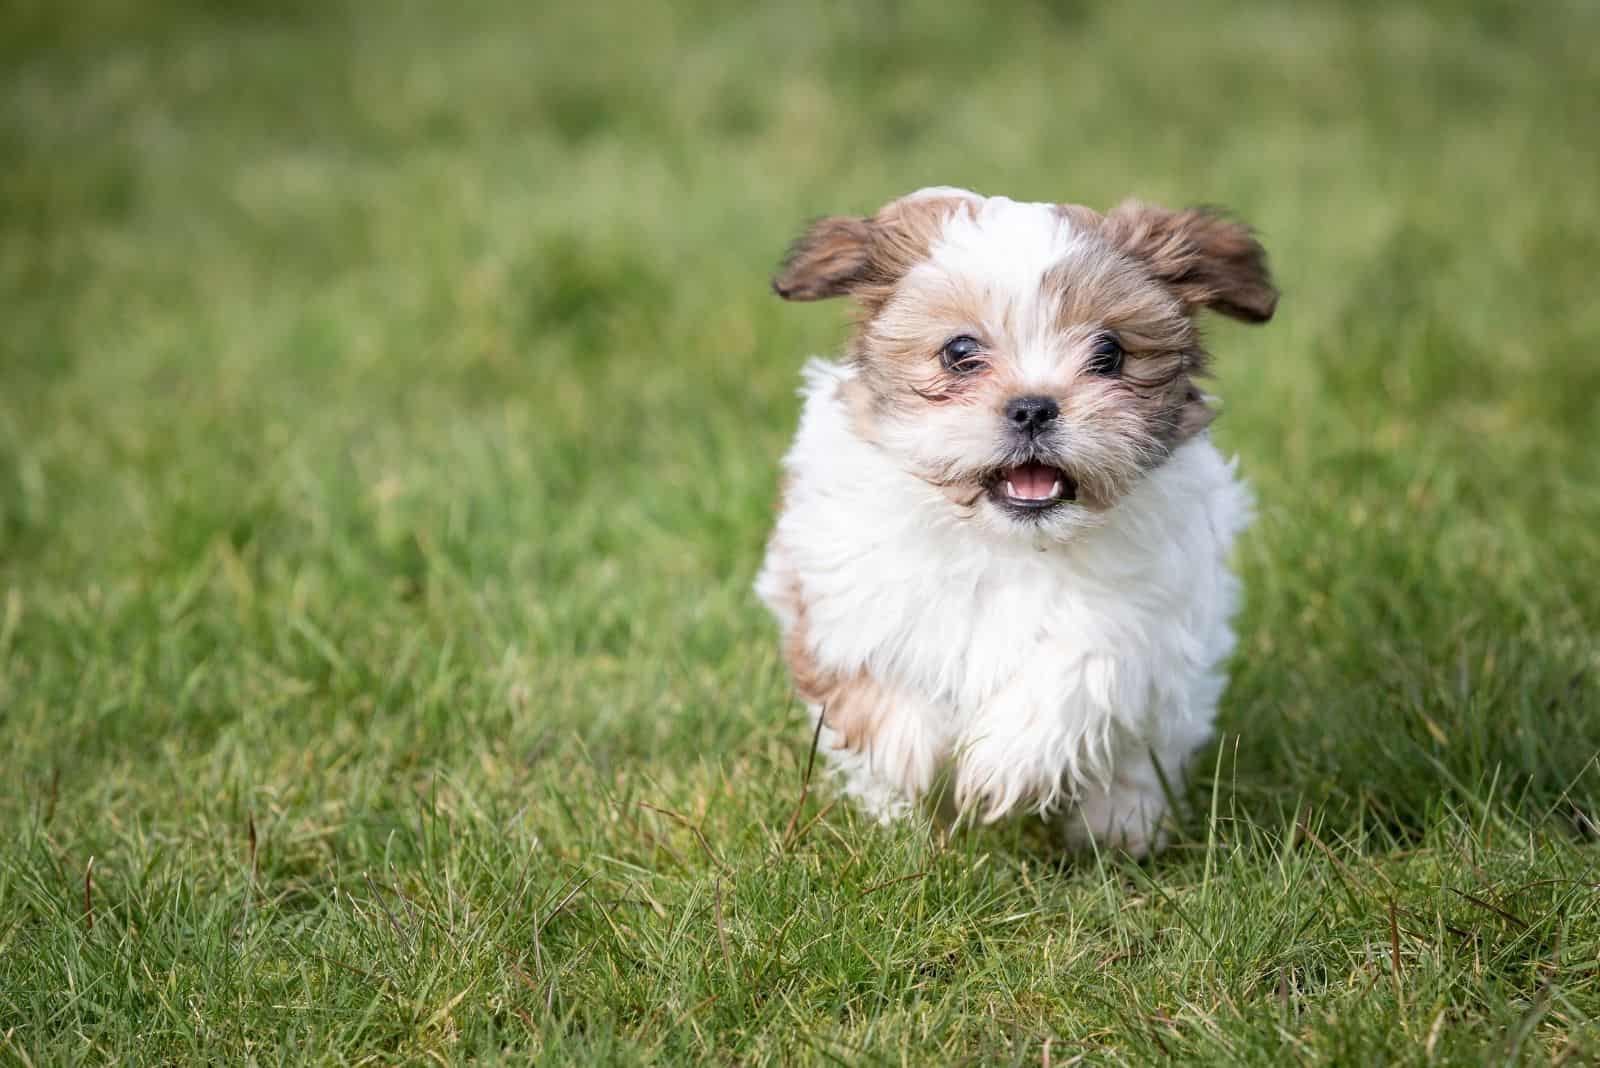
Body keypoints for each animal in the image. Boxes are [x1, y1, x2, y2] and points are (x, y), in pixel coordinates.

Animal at [755, 187, 1280, 856]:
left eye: (1109, 352)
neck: (1008, 542)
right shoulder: (839, 581)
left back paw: (1122, 831)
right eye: (960, 352)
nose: (1033, 407)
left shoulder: (1153, 608)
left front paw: (1004, 759)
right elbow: (876, 675)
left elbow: (1086, 662)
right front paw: (907, 755)